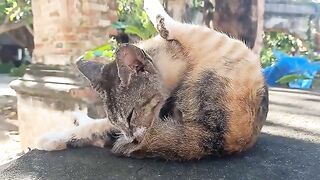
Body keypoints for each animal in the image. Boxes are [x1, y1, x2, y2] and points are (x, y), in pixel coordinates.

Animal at [36, 0, 268, 160]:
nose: (131, 137)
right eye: (119, 120)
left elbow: (174, 24)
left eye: (130, 114)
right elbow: (101, 125)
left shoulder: (199, 36)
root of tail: (213, 138)